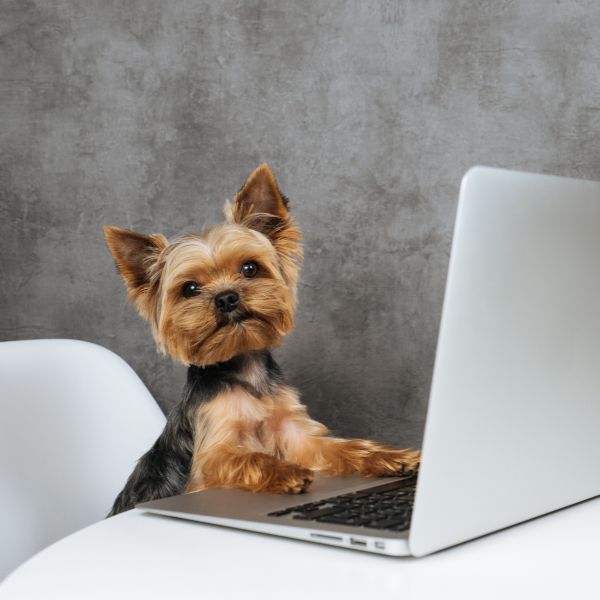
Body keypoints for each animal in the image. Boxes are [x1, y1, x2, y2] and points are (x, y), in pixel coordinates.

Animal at [103, 164, 420, 516]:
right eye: (190, 289)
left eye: (250, 268)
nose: (226, 297)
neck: (245, 371)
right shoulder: (212, 453)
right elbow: (247, 456)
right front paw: (286, 473)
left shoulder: (295, 432)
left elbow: (340, 446)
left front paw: (389, 456)